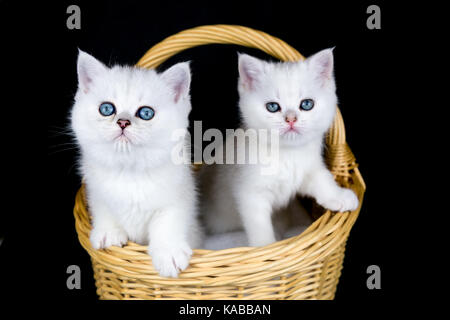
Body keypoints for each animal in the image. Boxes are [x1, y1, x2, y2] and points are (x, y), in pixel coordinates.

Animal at [71, 50, 200, 278]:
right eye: (107, 109)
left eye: (146, 113)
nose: (123, 121)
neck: (129, 171)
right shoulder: (95, 190)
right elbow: (103, 207)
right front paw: (109, 232)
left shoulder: (179, 196)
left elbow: (169, 221)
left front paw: (169, 252)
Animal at [202, 48, 356, 246]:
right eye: (273, 107)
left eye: (307, 104)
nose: (291, 119)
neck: (287, 154)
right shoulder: (250, 193)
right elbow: (259, 225)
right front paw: (265, 247)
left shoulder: (308, 167)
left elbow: (322, 178)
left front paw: (338, 196)